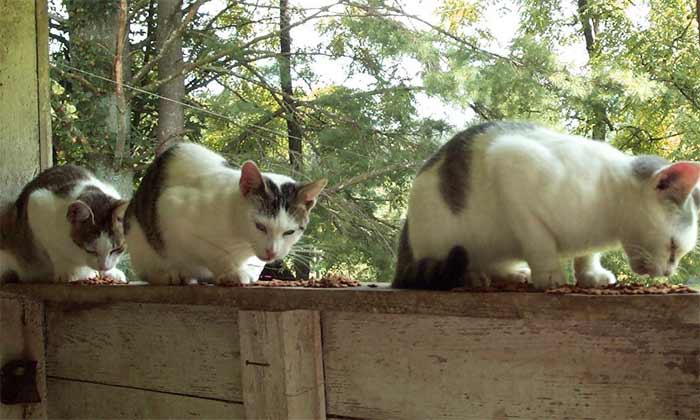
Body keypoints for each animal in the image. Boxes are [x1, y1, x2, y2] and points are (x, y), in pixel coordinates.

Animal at [0, 164, 129, 282]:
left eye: (117, 249)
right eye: (90, 250)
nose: (104, 267)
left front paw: (111, 272)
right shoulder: (37, 204)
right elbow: (55, 251)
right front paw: (73, 271)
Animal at [123, 142, 328, 286]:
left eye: (289, 232)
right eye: (260, 226)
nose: (272, 252)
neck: (242, 239)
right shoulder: (171, 211)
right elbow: (212, 251)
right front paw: (231, 271)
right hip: (140, 241)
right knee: (148, 270)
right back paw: (170, 275)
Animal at [394, 121, 700, 290]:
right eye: (673, 247)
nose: (668, 273)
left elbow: (587, 255)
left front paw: (590, 274)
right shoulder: (512, 163)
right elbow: (539, 241)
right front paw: (551, 275)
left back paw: (512, 273)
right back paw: (471, 277)